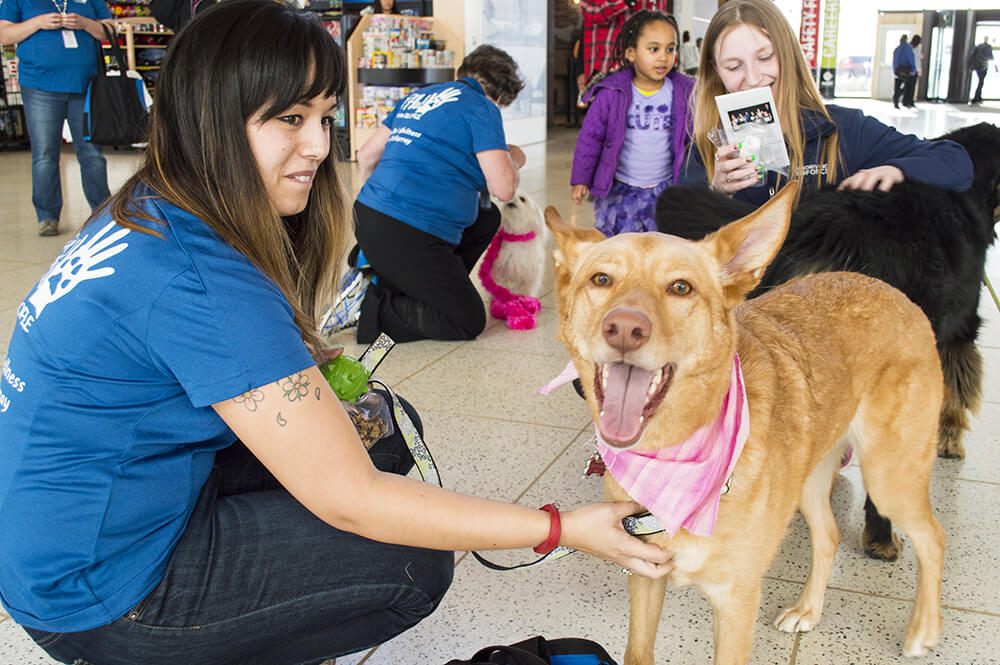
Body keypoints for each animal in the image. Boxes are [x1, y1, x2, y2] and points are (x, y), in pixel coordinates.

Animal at [476, 191, 548, 328]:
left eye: (522, 199)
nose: (510, 198)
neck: (516, 236)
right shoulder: (499, 268)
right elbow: (499, 285)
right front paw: (499, 300)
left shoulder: (530, 271)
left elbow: (527, 288)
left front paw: (526, 300)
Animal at [548, 183, 944, 664]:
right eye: (601, 280)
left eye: (681, 287)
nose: (623, 328)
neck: (673, 452)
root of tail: (890, 289)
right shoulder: (644, 574)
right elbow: (638, 651)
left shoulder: (736, 602)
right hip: (810, 476)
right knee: (829, 534)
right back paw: (809, 609)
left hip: (889, 478)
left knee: (933, 536)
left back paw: (924, 629)